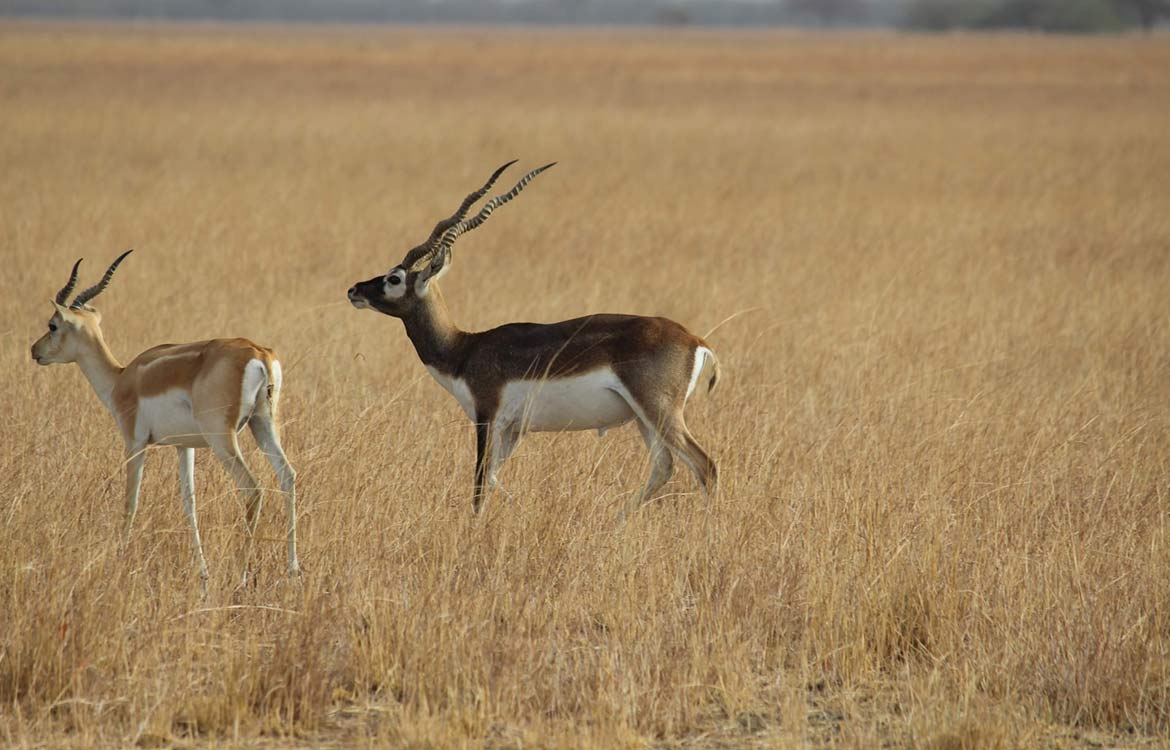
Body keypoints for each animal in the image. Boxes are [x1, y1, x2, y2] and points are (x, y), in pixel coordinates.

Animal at [32, 251, 299, 585]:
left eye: (52, 324)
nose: (35, 350)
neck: (121, 379)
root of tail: (259, 353)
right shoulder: (184, 446)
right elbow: (190, 503)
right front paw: (203, 571)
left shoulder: (134, 442)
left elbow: (130, 500)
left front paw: (120, 559)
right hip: (263, 424)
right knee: (287, 475)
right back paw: (293, 569)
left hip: (223, 438)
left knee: (252, 489)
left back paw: (241, 576)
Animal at [346, 162, 716, 514]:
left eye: (394, 278)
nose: (354, 290)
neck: (463, 350)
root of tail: (695, 339)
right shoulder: (513, 429)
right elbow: (493, 477)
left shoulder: (487, 417)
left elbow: (479, 482)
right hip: (643, 417)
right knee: (664, 467)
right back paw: (616, 521)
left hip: (659, 410)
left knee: (705, 466)